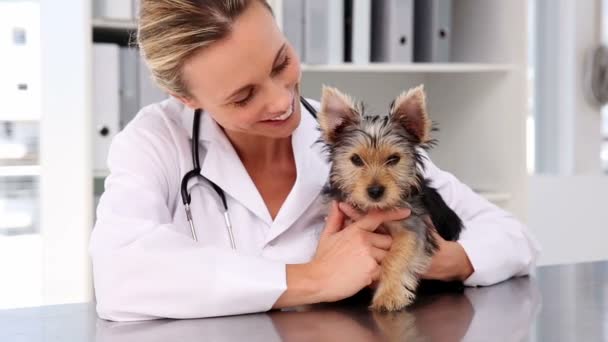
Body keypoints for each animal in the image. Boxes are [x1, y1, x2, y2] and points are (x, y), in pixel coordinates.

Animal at [316, 84, 464, 312]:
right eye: (356, 160)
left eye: (394, 159)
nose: (375, 191)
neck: (375, 209)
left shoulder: (412, 226)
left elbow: (397, 255)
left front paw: (389, 295)